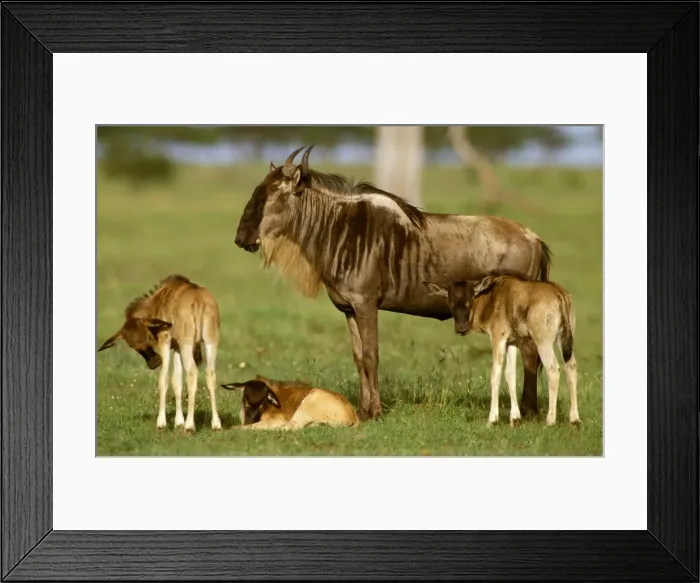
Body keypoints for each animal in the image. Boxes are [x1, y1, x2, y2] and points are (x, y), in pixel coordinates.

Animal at [97, 274, 222, 432]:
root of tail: (198, 300)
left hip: (187, 344)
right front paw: (178, 422)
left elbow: (163, 379)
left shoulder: (166, 341)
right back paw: (216, 424)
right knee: (210, 374)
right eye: (131, 345)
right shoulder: (177, 347)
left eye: (148, 336)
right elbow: (176, 380)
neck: (161, 298)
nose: (154, 362)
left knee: (192, 373)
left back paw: (189, 426)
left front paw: (162, 423)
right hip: (210, 341)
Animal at [220, 375, 360, 430]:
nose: (249, 421)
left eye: (262, 405)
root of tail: (353, 416)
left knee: (290, 427)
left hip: (306, 405)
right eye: (245, 402)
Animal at [234, 145, 553, 421]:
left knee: (530, 354)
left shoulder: (367, 305)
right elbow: (359, 358)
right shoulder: (349, 309)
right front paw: (363, 410)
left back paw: (529, 411)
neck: (336, 229)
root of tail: (534, 238)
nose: (241, 238)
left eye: (274, 191)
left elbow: (372, 356)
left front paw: (375, 411)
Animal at [423, 272, 580, 428]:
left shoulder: (498, 337)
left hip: (543, 341)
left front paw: (492, 419)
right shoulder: (512, 342)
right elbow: (510, 375)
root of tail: (559, 293)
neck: (491, 296)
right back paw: (574, 420)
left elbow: (495, 374)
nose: (461, 328)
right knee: (571, 367)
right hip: (564, 338)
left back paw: (550, 421)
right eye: (451, 303)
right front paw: (515, 419)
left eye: (471, 301)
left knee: (553, 369)